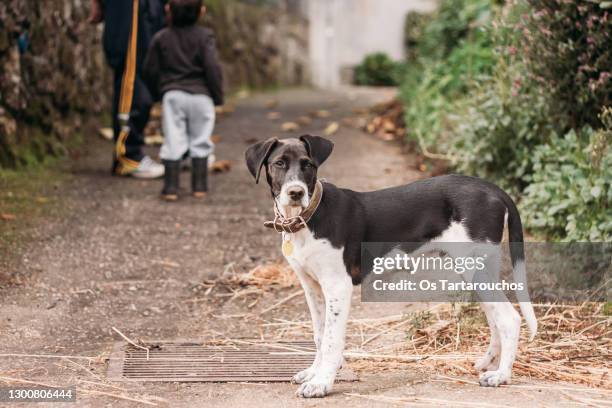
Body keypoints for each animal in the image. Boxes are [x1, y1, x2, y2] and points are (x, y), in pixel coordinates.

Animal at [244, 135, 536, 396]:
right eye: (279, 164)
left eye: (308, 165)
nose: (296, 193)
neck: (309, 216)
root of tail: (493, 189)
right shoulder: (312, 287)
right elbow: (319, 334)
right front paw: (315, 373)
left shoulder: (338, 287)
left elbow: (331, 340)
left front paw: (322, 383)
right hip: (476, 270)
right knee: (495, 318)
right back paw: (487, 363)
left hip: (475, 269)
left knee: (509, 319)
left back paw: (501, 375)